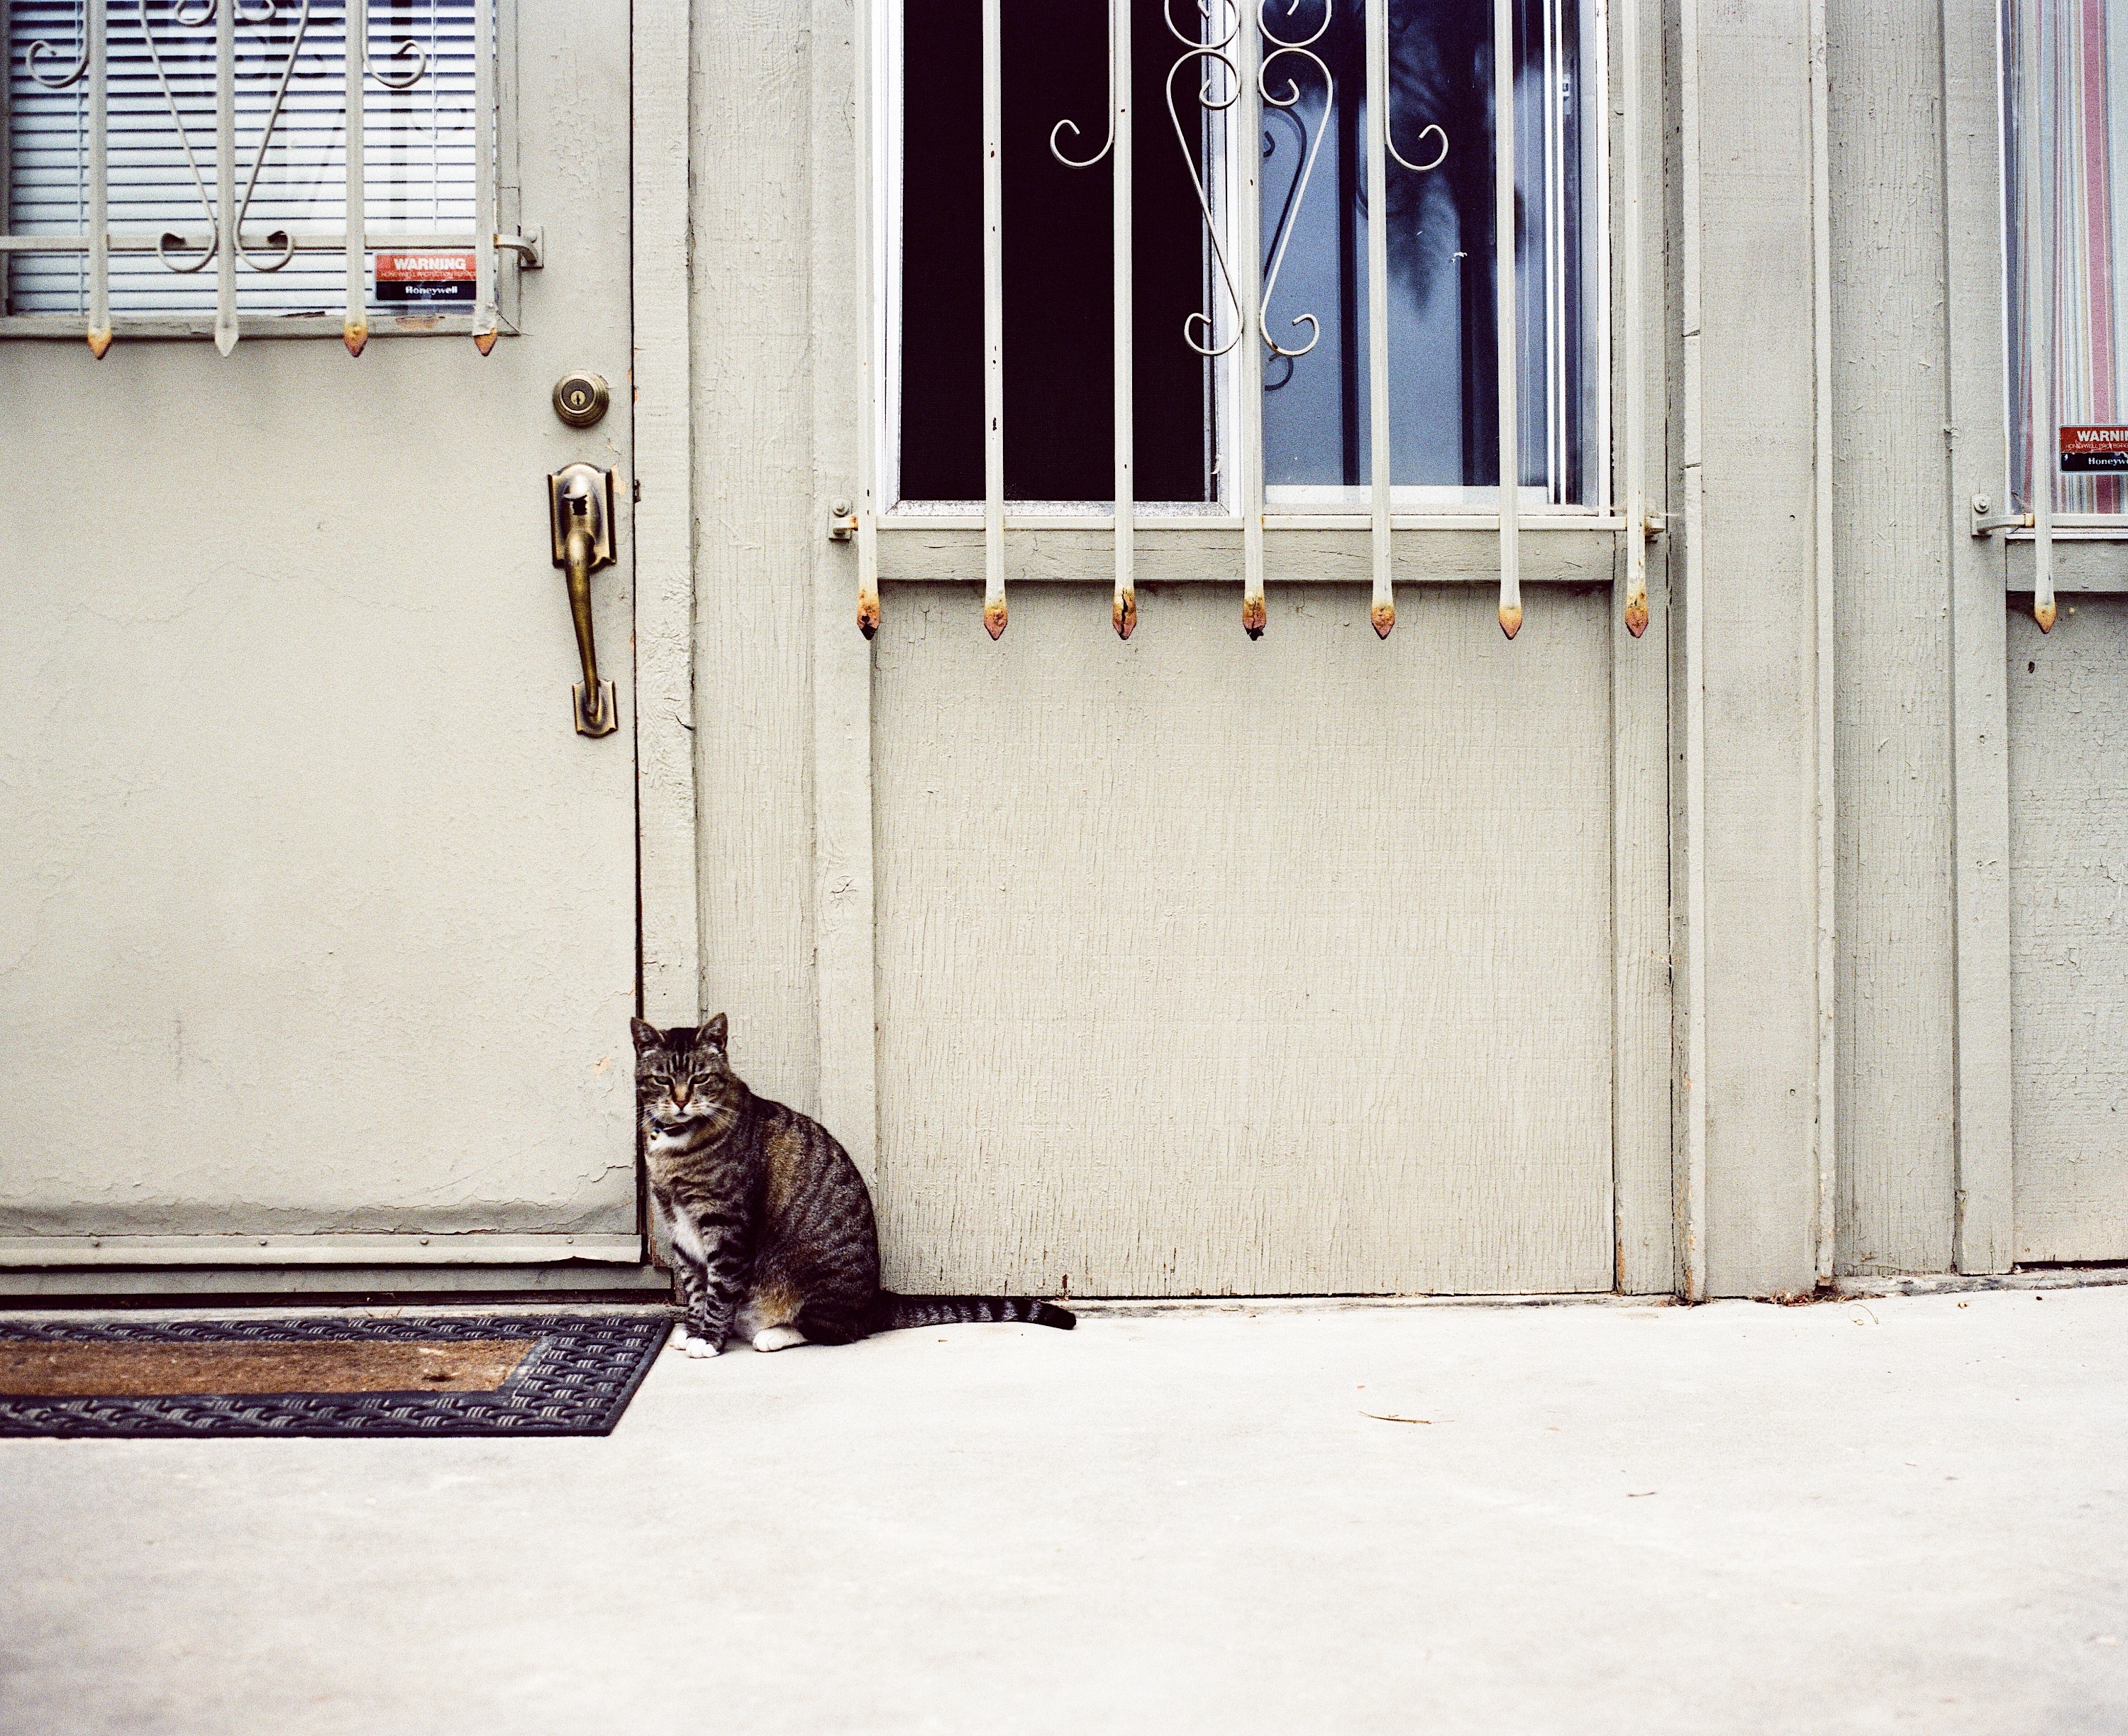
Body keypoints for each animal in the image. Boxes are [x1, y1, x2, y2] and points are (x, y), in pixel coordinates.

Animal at [632, 1015, 1077, 1356]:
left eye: (700, 1078)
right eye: (661, 1079)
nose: (681, 1100)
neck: (676, 1146)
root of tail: (873, 1301)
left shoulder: (726, 1229)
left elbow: (719, 1291)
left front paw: (708, 1340)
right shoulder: (680, 1231)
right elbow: (695, 1288)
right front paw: (693, 1329)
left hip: (818, 1280)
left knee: (837, 1330)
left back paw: (775, 1334)